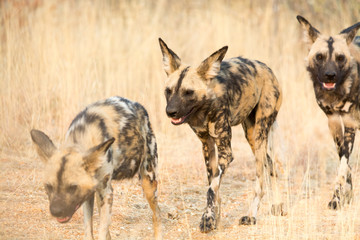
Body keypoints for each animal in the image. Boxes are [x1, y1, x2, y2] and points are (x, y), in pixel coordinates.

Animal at [29, 96, 162, 240]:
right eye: (48, 186)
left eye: (72, 187)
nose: (56, 211)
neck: (83, 136)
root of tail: (138, 106)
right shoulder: (88, 195)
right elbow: (89, 230)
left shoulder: (105, 192)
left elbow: (102, 232)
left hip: (148, 184)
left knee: (157, 215)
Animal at [159, 38, 282, 232]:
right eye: (168, 91)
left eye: (188, 92)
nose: (170, 111)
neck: (204, 107)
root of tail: (267, 68)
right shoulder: (207, 146)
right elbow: (213, 185)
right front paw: (214, 218)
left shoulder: (226, 152)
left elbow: (212, 188)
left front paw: (208, 218)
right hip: (252, 137)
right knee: (270, 165)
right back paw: (278, 205)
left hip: (260, 133)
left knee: (261, 179)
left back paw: (251, 215)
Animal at [296, 15, 360, 210]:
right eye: (319, 57)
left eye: (340, 58)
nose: (330, 75)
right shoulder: (334, 122)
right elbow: (344, 163)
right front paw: (346, 195)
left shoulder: (350, 123)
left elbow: (343, 165)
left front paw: (337, 199)